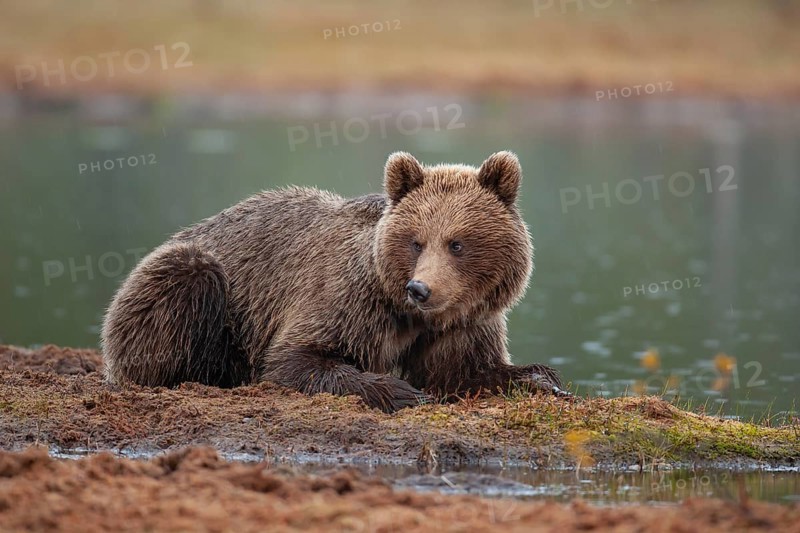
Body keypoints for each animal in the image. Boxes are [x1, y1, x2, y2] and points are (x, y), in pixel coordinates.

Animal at [101, 151, 568, 412]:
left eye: (457, 243)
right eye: (416, 241)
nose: (420, 289)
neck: (409, 316)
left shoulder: (463, 323)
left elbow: (465, 370)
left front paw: (540, 378)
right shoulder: (348, 299)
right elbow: (296, 359)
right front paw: (401, 391)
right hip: (190, 280)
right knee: (185, 284)